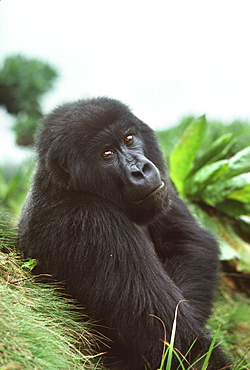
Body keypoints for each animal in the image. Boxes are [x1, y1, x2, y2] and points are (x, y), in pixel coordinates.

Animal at [18, 97, 230, 368]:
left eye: (129, 138)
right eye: (107, 154)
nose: (140, 169)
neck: (70, 186)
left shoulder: (162, 188)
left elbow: (189, 243)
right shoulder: (95, 223)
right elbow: (177, 342)